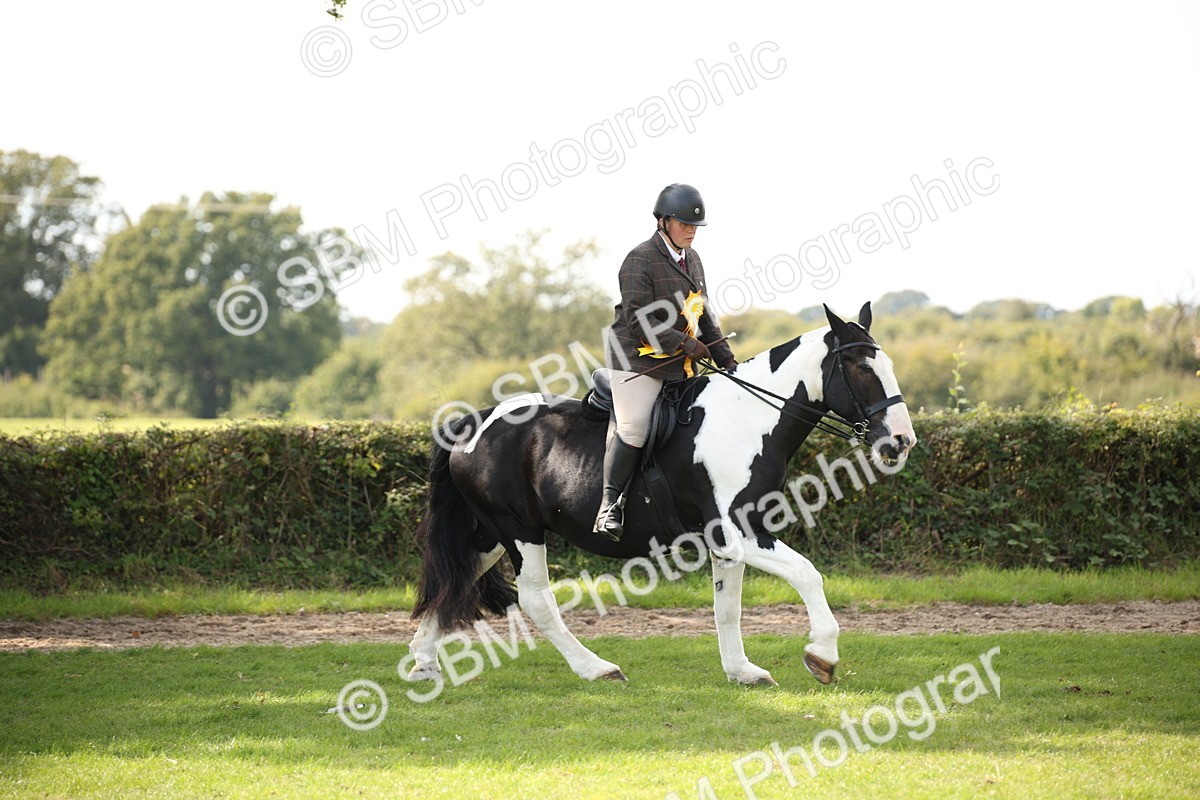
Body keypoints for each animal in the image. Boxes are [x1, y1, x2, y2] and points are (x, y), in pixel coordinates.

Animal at [407, 302, 916, 687]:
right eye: (860, 367)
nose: (902, 441)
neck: (747, 418)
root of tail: (473, 422)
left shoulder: (727, 541)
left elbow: (727, 608)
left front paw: (742, 671)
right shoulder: (738, 532)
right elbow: (808, 575)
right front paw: (822, 656)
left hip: (491, 534)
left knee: (457, 579)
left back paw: (424, 664)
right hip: (520, 531)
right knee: (534, 599)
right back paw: (596, 668)